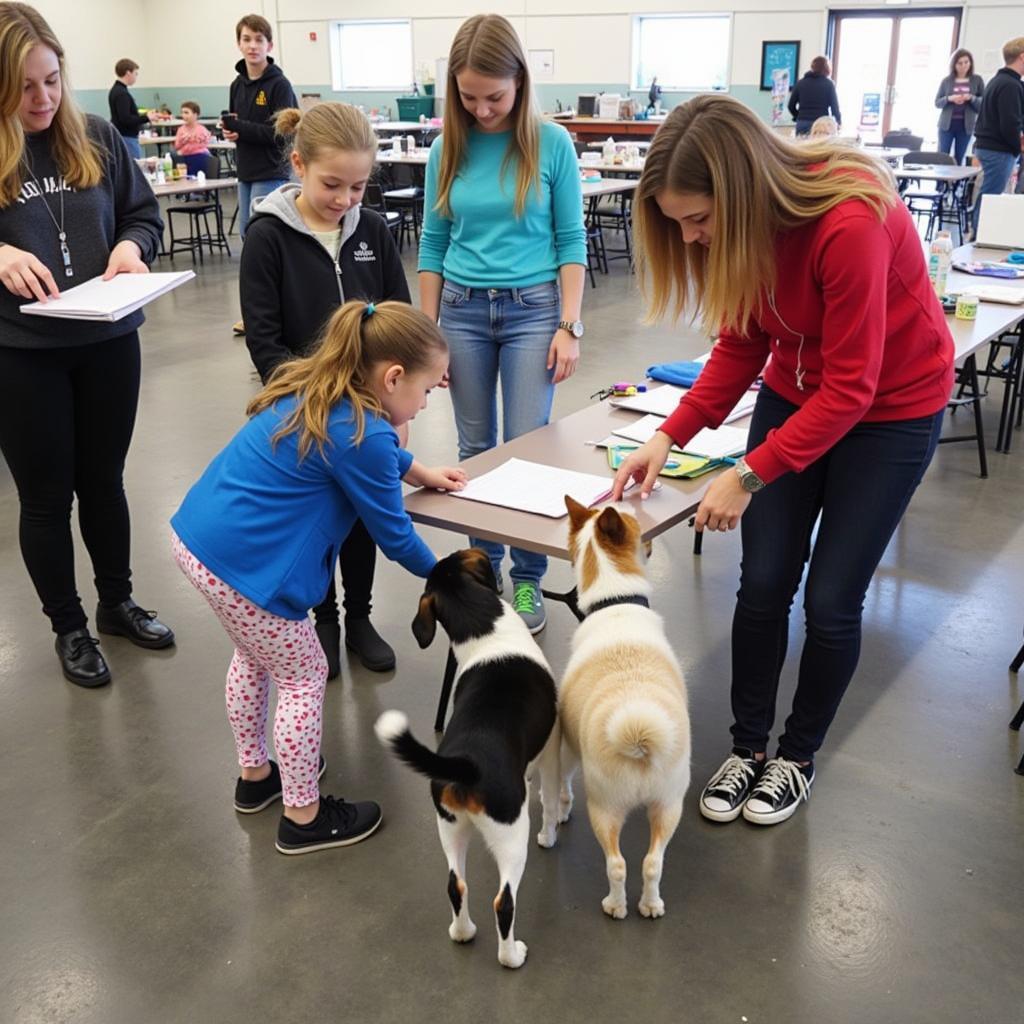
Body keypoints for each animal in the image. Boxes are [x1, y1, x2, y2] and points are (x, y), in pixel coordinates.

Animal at [374, 552, 557, 966]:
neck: (483, 627)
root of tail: (465, 762)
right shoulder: (551, 748)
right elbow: (553, 798)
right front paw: (552, 831)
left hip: (450, 826)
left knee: (455, 886)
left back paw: (462, 932)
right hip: (512, 834)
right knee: (503, 903)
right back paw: (512, 955)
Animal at [557, 497, 692, 921]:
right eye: (642, 530)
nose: (652, 541)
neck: (614, 603)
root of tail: (637, 734)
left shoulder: (568, 748)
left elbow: (562, 786)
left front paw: (561, 810)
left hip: (604, 808)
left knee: (616, 865)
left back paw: (615, 906)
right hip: (668, 804)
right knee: (652, 863)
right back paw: (650, 904)